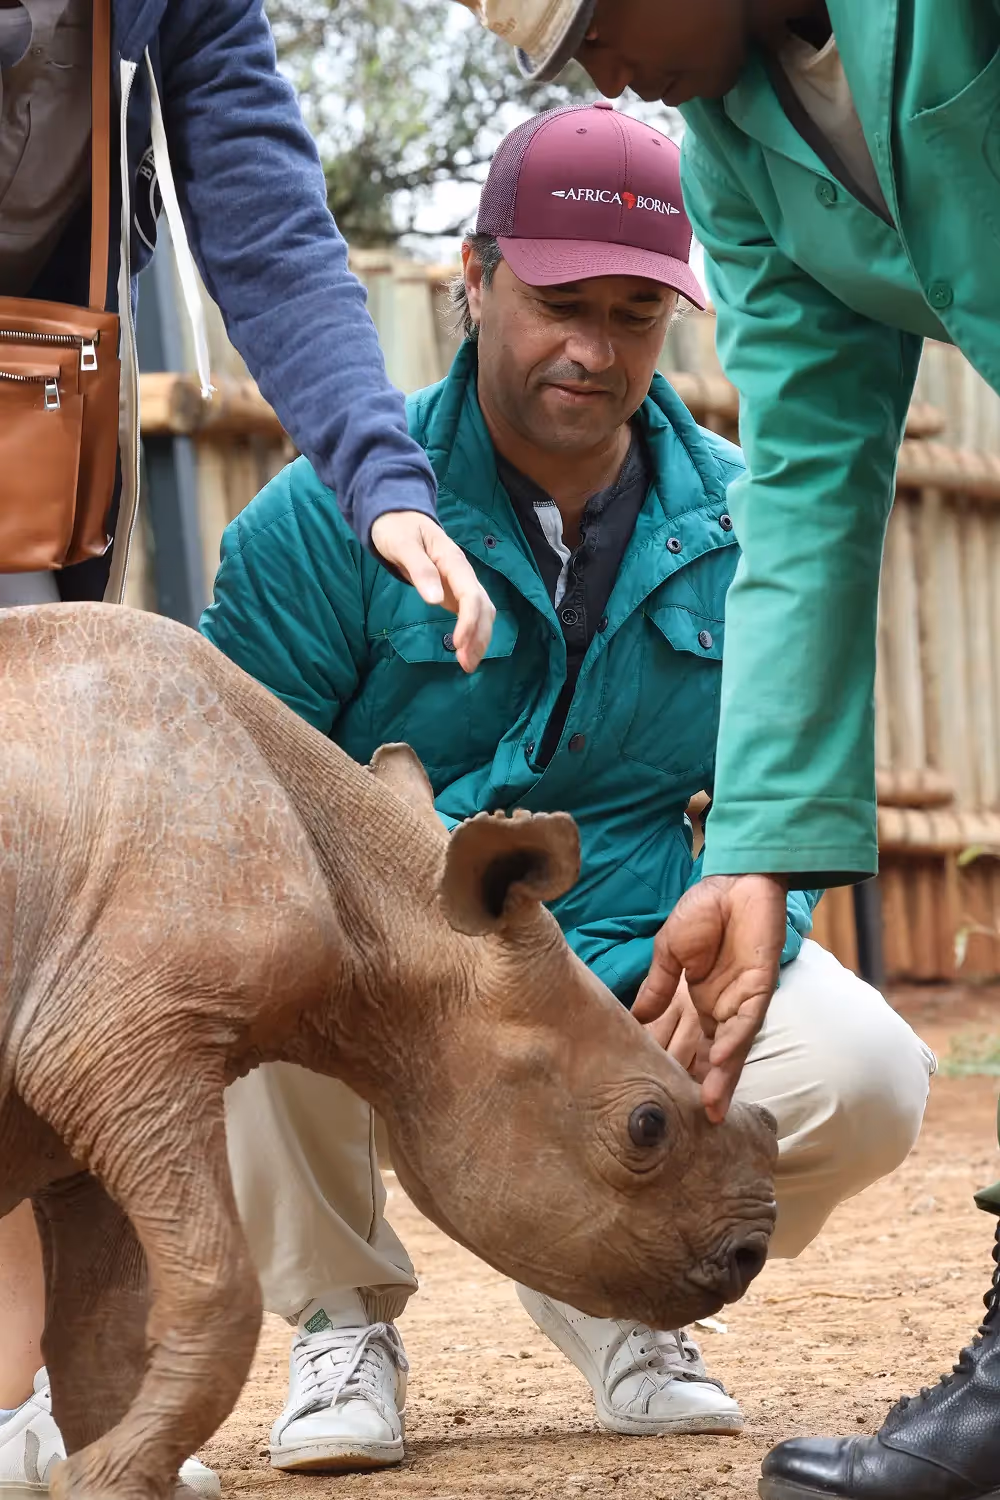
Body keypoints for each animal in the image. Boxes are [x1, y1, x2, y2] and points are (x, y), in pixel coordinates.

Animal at [0, 604, 777, 1500]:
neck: (384, 909)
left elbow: (102, 1331)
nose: (753, 1255)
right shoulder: (123, 1046)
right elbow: (219, 1288)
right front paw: (109, 1473)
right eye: (647, 1125)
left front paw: (103, 1473)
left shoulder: (90, 1077)